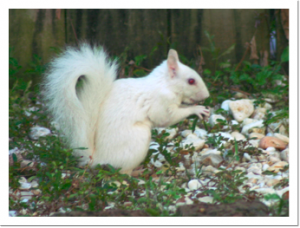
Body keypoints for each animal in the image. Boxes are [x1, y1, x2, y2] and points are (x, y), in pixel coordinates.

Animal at [43, 43, 210, 175]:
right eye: (191, 81)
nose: (207, 95)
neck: (165, 84)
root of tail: (96, 158)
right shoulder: (161, 103)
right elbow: (165, 119)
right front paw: (197, 109)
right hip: (139, 139)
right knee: (124, 172)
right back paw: (137, 172)